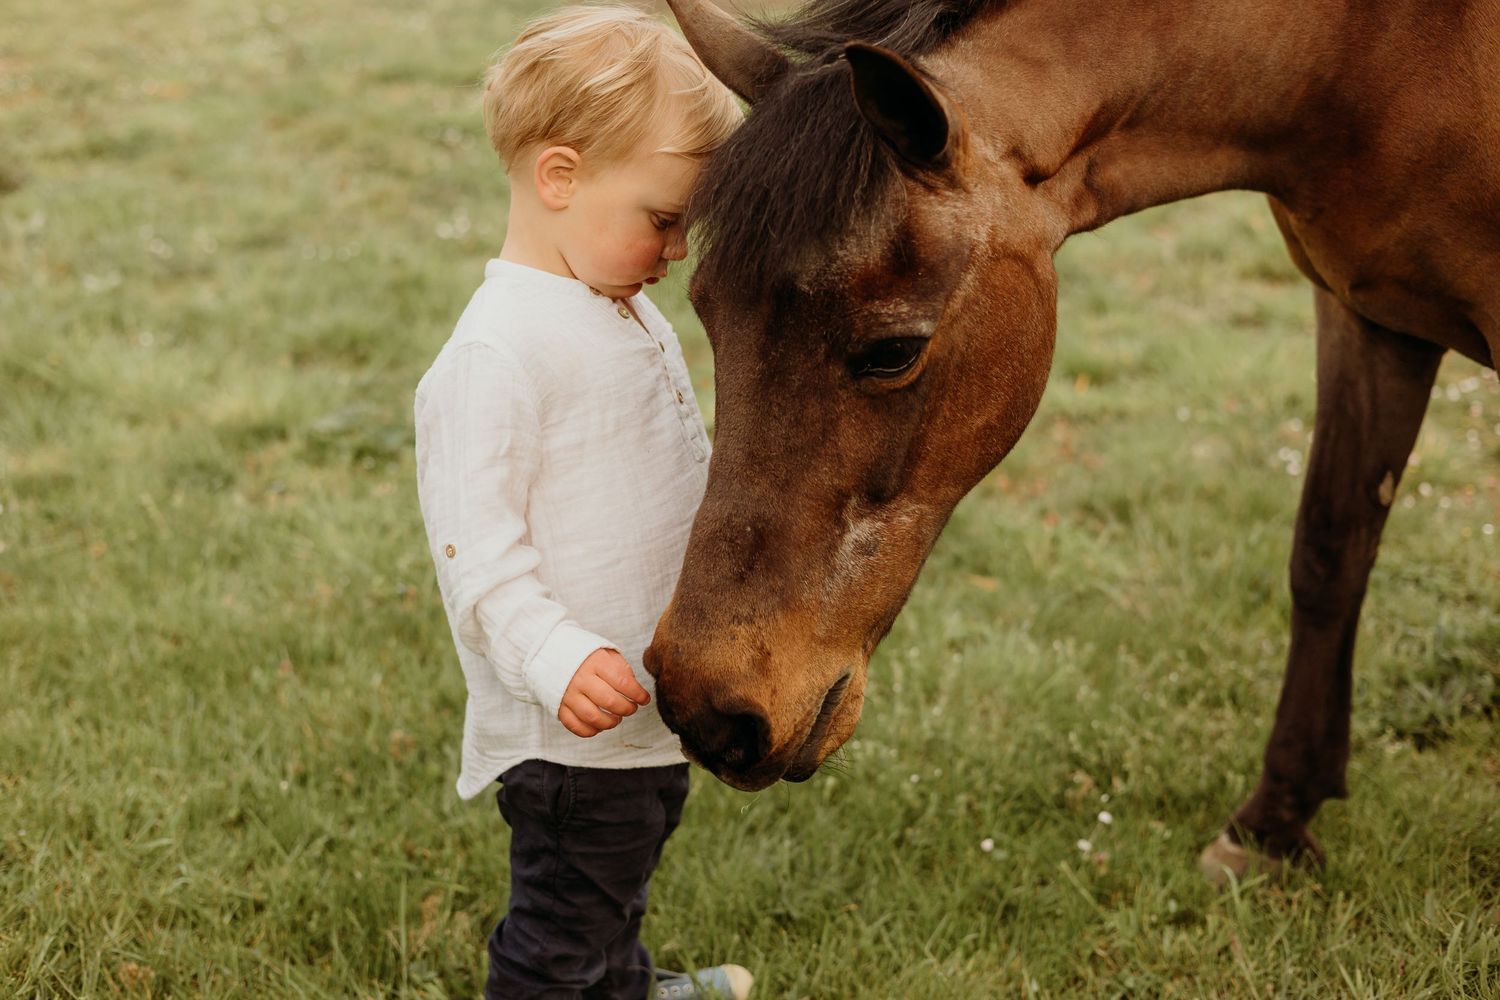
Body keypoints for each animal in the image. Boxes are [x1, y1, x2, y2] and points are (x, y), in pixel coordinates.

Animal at [642, 0, 1500, 882]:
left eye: (894, 351)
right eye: (703, 311)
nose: (709, 710)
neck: (1369, 55)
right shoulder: (1367, 316)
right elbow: (1330, 554)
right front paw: (1275, 820)